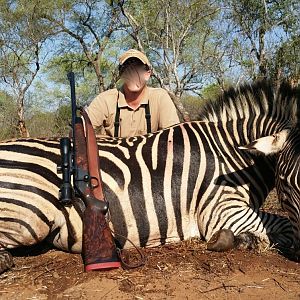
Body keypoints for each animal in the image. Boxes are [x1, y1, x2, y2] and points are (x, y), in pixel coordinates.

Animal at [0, 79, 298, 272]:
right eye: (286, 182)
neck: (231, 154)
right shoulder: (221, 210)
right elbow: (280, 227)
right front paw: (239, 240)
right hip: (29, 217)